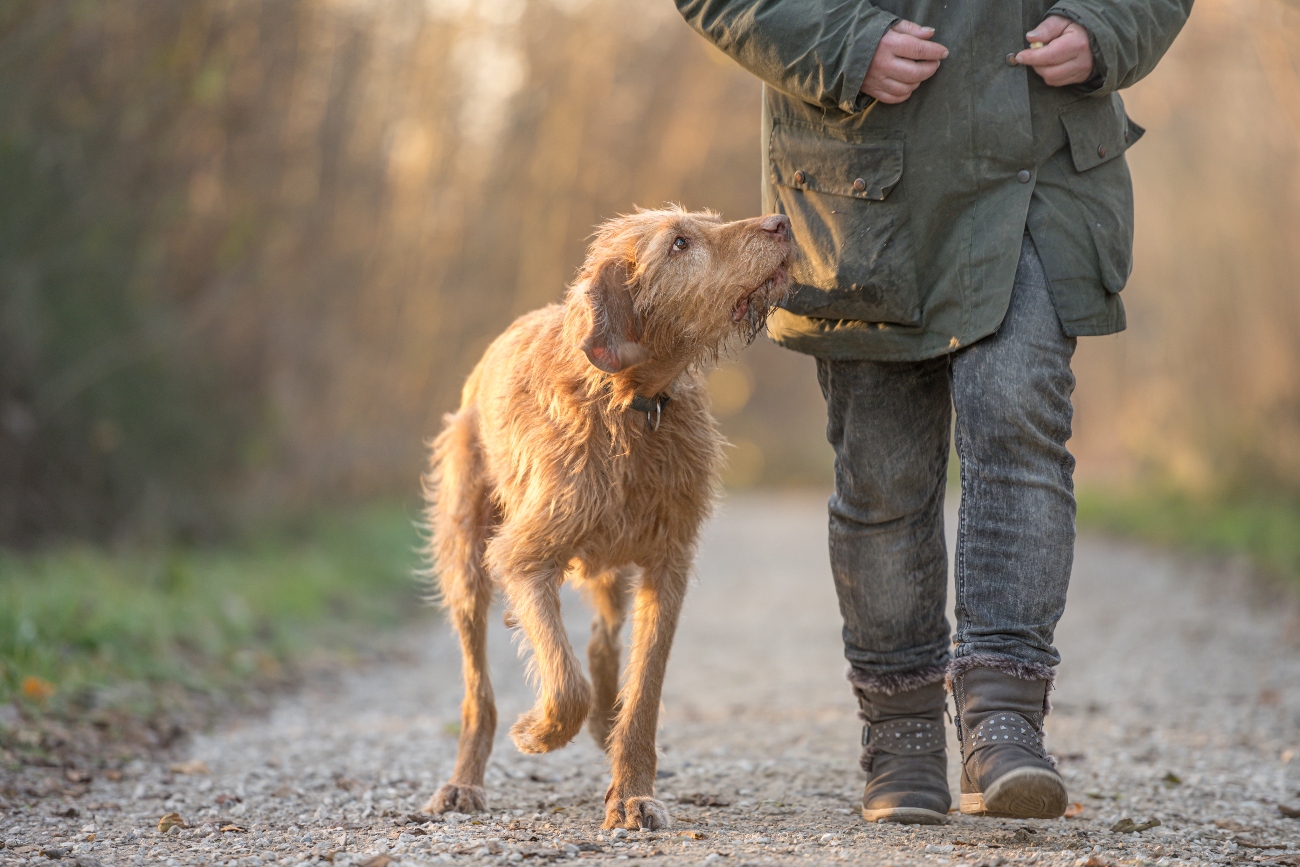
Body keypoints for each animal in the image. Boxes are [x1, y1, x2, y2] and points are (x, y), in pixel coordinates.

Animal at [426, 206, 790, 831]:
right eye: (680, 243)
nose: (782, 222)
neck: (632, 404)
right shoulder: (523, 557)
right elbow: (564, 679)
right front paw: (540, 732)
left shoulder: (668, 563)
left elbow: (643, 691)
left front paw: (632, 794)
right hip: (467, 560)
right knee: (479, 691)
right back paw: (462, 784)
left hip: (610, 562)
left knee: (601, 640)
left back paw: (602, 720)